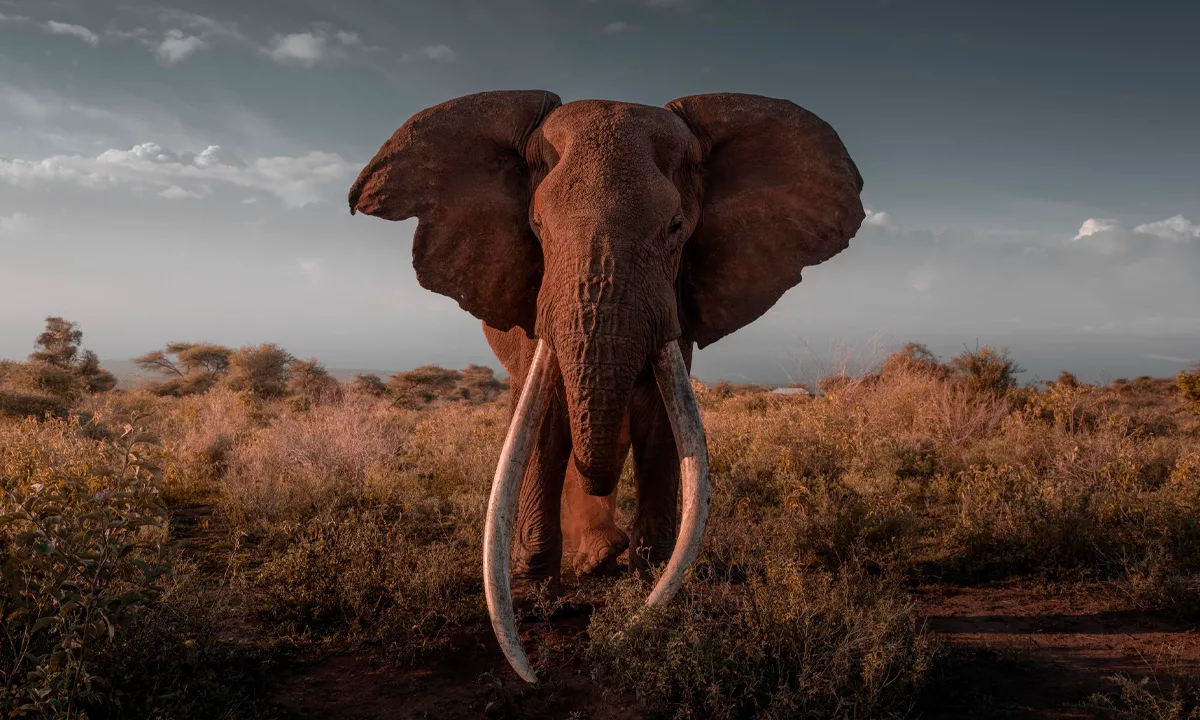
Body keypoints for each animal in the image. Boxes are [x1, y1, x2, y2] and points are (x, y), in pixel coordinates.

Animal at [348, 90, 864, 682]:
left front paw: (649, 592)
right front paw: (539, 603)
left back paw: (601, 557)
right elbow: (546, 425)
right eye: (537, 224)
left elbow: (662, 423)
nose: (537, 674)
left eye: (676, 227)